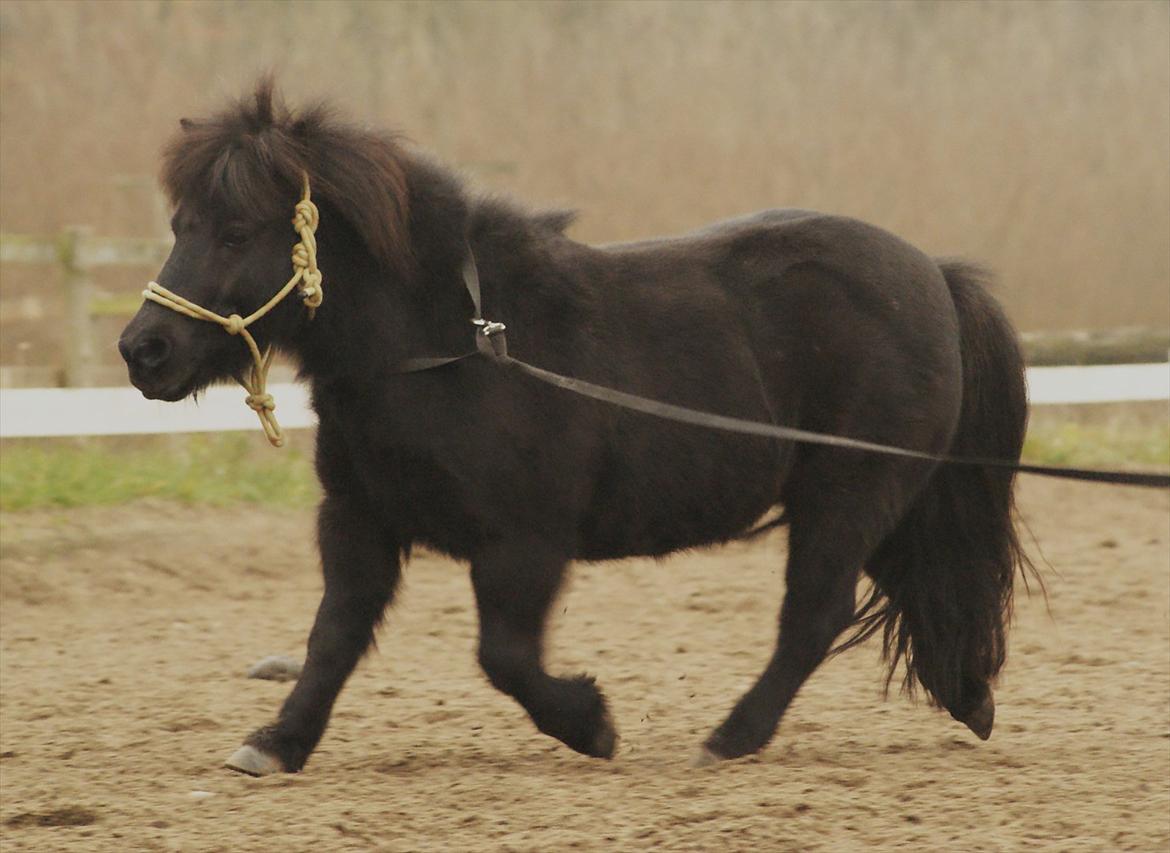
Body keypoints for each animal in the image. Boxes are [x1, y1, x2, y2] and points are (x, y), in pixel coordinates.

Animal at [118, 83, 1029, 776]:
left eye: (236, 230)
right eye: (180, 225)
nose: (143, 350)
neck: (447, 347)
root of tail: (934, 276)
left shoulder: (524, 541)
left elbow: (504, 656)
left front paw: (592, 723)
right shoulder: (359, 521)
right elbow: (332, 637)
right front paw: (276, 742)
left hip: (848, 494)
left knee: (815, 612)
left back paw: (730, 737)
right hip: (875, 495)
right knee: (916, 585)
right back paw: (967, 695)